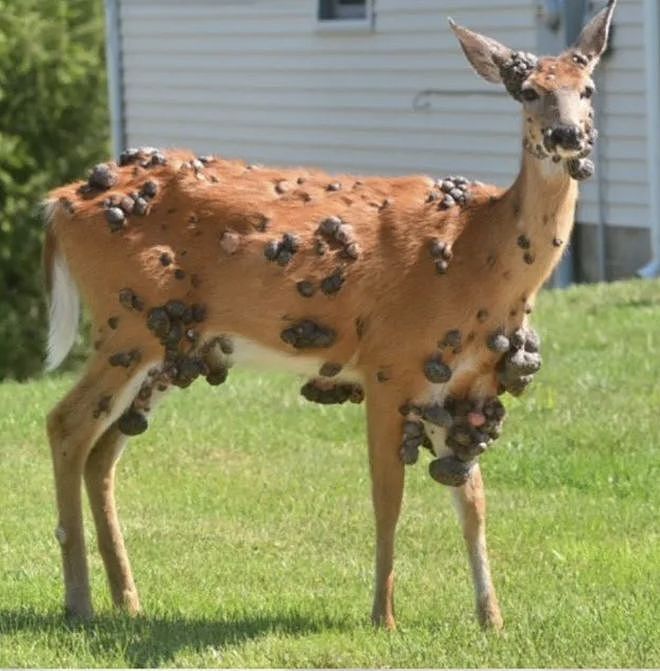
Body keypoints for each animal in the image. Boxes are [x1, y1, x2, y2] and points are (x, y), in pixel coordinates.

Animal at [42, 1, 616, 630]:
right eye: (530, 91)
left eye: (587, 88)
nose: (567, 135)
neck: (476, 254)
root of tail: (58, 202)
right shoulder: (390, 366)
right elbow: (388, 499)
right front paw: (384, 617)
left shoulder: (465, 385)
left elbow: (473, 504)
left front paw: (493, 621)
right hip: (126, 323)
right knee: (65, 424)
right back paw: (78, 600)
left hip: (171, 346)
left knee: (102, 452)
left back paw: (128, 599)